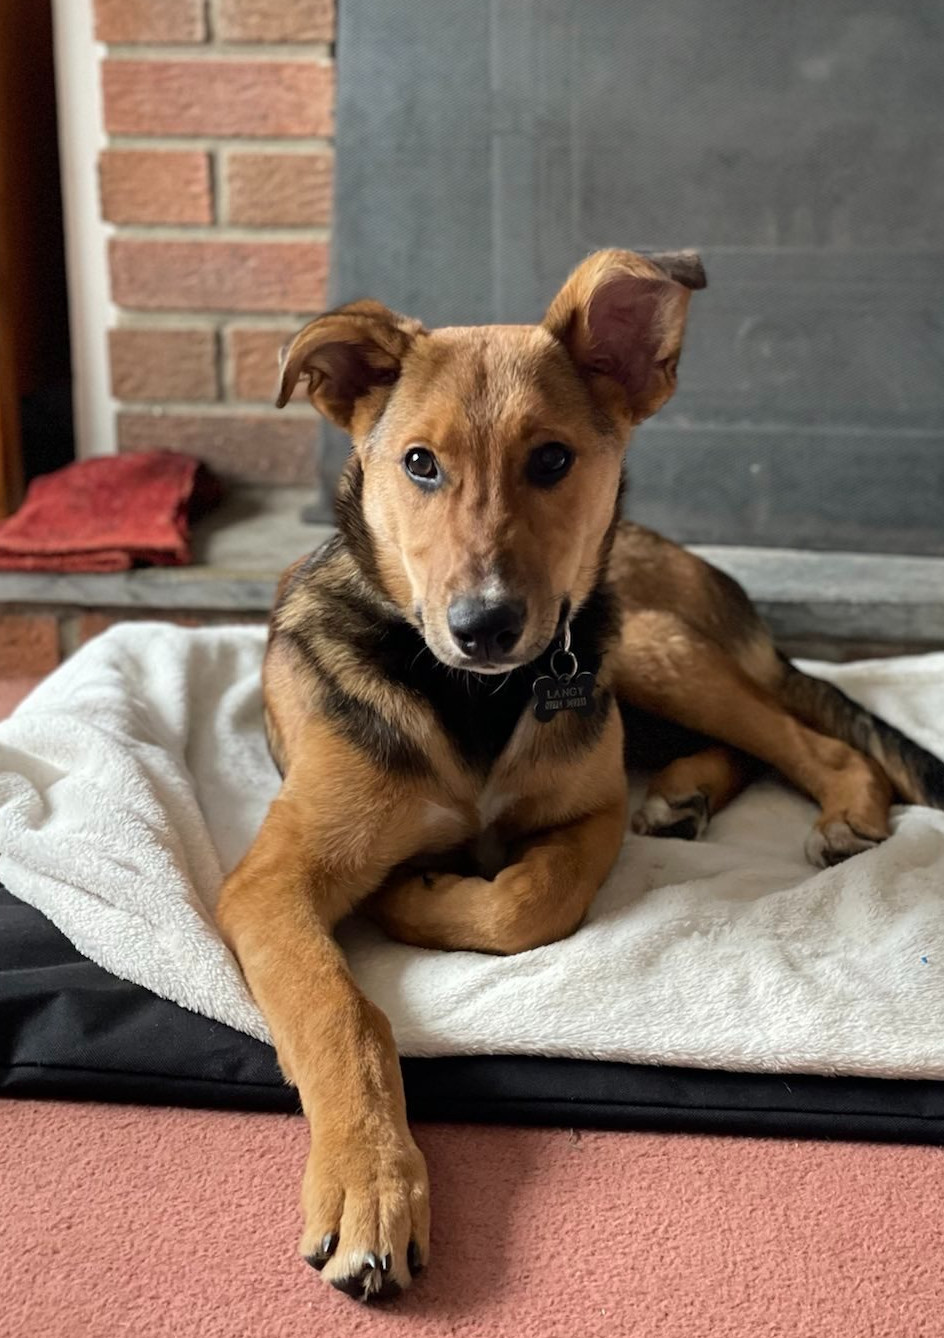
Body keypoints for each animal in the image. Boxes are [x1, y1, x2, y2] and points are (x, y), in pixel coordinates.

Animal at [213, 248, 941, 1295]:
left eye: (552, 460)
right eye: (419, 463)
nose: (484, 626)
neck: (476, 700)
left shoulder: (589, 811)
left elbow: (528, 901)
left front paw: (417, 895)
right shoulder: (270, 882)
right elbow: (337, 1011)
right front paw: (370, 1184)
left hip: (642, 643)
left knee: (803, 738)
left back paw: (835, 806)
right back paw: (682, 795)